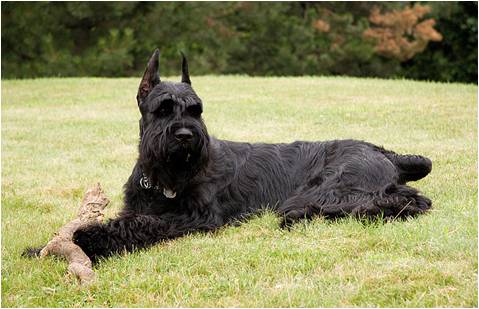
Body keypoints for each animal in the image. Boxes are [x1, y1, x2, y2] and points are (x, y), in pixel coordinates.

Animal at [26, 50, 434, 260]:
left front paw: (86, 242)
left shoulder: (195, 216)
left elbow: (138, 226)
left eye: (196, 110)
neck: (165, 179)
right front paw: (43, 246)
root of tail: (385, 152)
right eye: (163, 109)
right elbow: (127, 219)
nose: (186, 136)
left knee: (404, 201)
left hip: (328, 191)